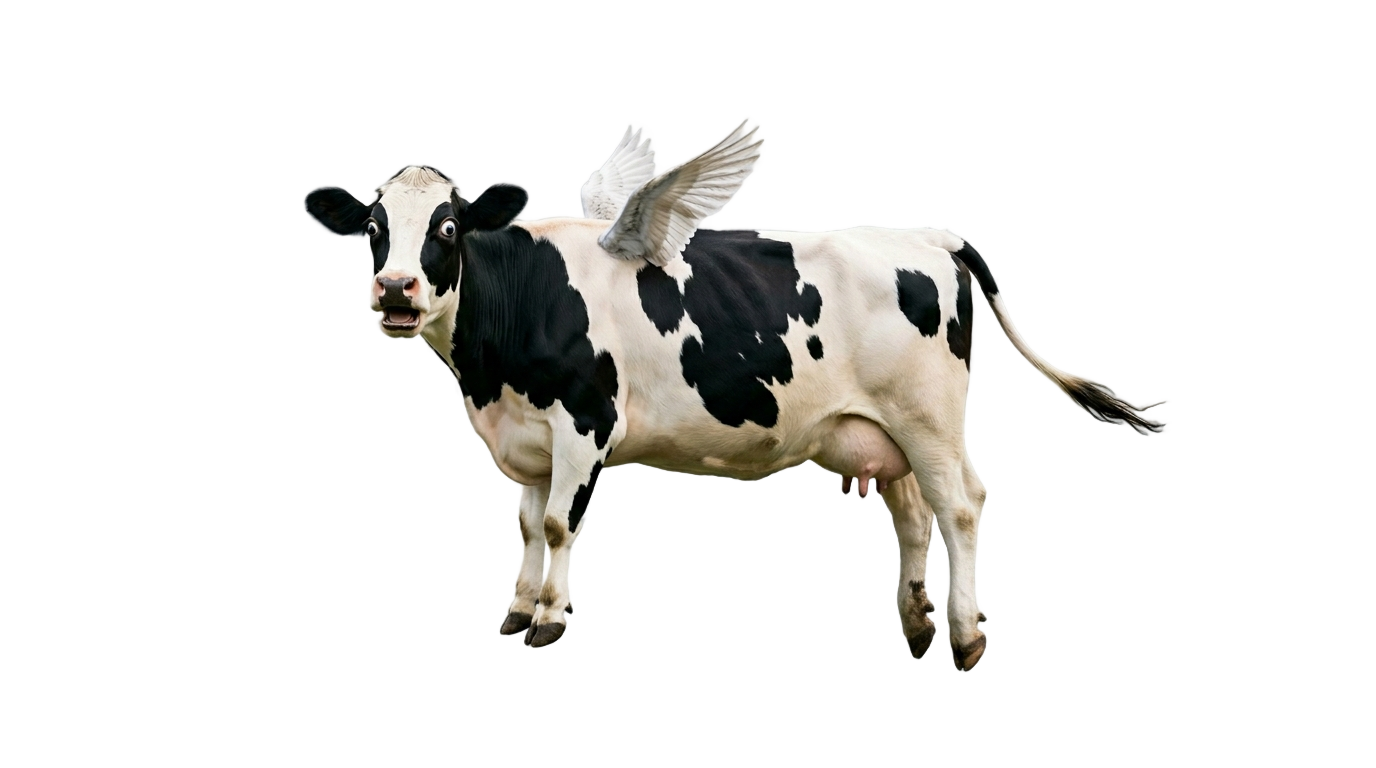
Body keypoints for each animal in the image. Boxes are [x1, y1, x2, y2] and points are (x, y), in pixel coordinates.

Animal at [302, 121, 1159, 671]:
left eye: (447, 228)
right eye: (374, 228)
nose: (396, 291)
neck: (493, 374)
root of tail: (928, 237)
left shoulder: (585, 422)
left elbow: (554, 525)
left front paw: (547, 621)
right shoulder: (522, 440)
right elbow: (521, 529)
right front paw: (514, 612)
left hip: (931, 418)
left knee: (960, 513)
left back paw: (965, 638)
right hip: (882, 430)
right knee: (913, 518)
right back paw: (916, 629)